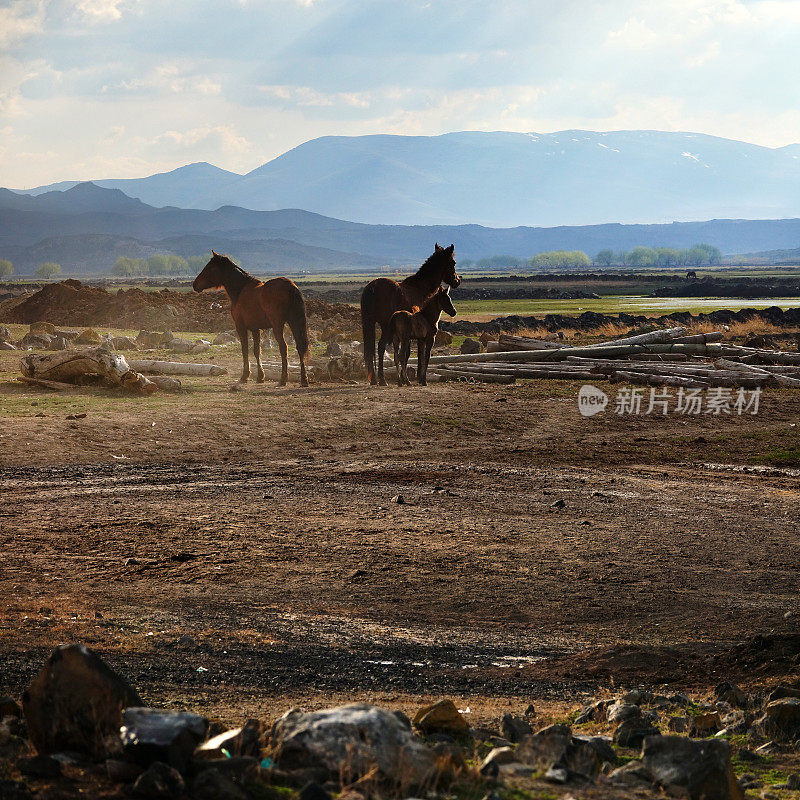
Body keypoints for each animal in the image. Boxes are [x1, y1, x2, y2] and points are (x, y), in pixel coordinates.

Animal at [192, 252, 310, 386]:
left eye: (210, 268)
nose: (194, 284)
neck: (240, 291)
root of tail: (290, 286)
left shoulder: (241, 327)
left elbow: (245, 350)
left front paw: (245, 376)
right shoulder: (255, 329)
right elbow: (256, 351)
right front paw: (260, 376)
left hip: (278, 326)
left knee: (283, 348)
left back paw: (283, 379)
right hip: (294, 322)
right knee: (300, 347)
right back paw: (304, 379)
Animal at [360, 244, 460, 388]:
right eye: (453, 262)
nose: (457, 281)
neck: (419, 289)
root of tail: (372, 288)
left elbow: (406, 354)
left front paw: (405, 378)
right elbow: (417, 354)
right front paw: (417, 377)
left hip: (370, 323)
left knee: (371, 349)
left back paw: (374, 379)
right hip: (385, 326)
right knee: (381, 346)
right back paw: (382, 379)